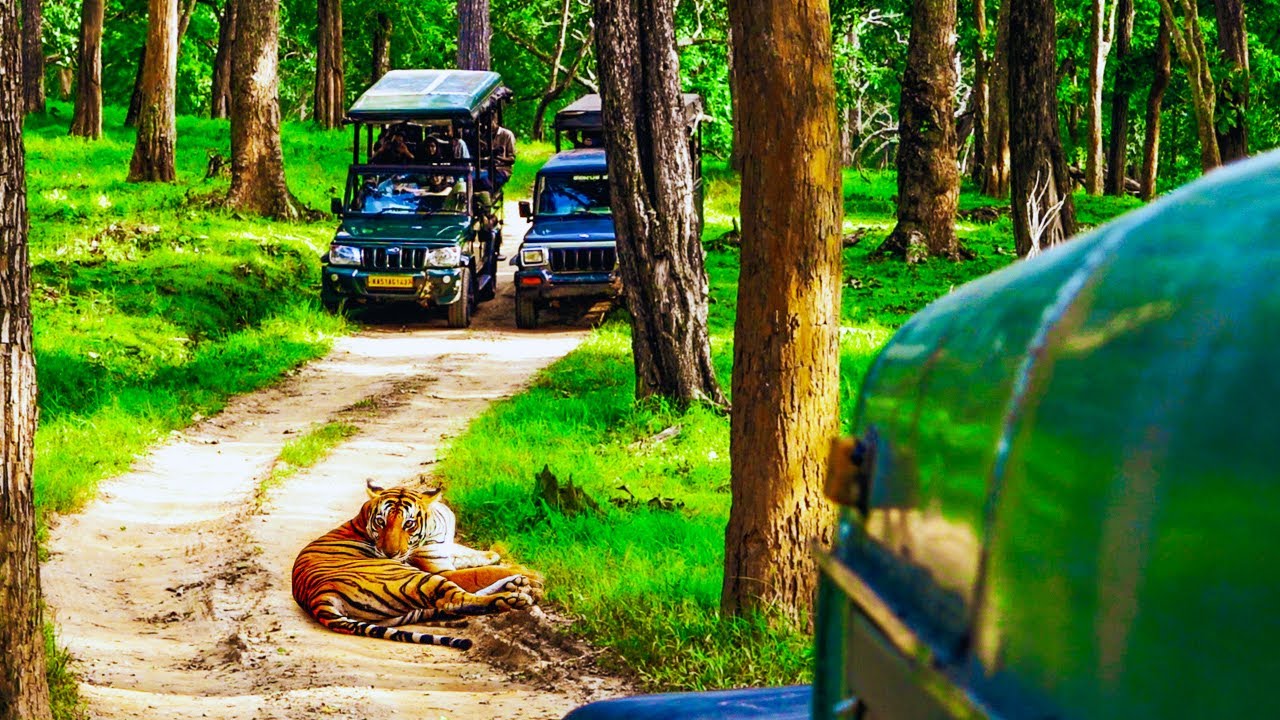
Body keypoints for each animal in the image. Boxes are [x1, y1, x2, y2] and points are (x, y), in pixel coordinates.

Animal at [291, 481, 535, 650]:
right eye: (380, 522)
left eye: (408, 524)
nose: (389, 554)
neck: (437, 527)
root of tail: (317, 597)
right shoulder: (439, 569)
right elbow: (480, 573)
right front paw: (530, 574)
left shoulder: (445, 549)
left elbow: (472, 555)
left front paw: (496, 556)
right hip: (414, 578)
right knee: (456, 600)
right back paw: (513, 596)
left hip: (402, 611)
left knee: (447, 605)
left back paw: (515, 585)